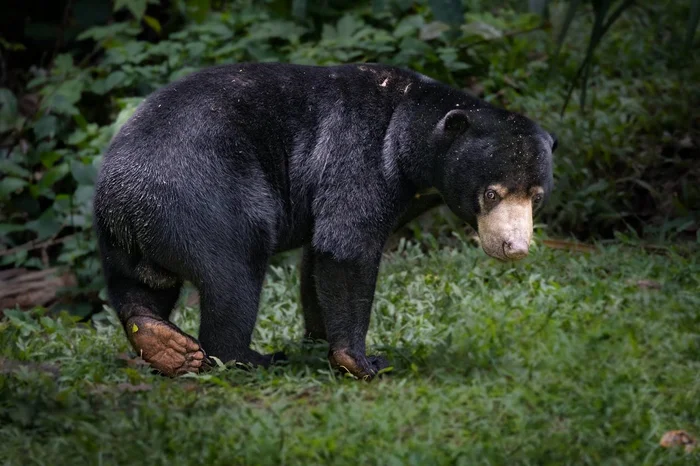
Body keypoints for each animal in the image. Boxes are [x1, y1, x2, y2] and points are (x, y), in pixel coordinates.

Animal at [93, 63, 556, 380]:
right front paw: (362, 361)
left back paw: (161, 341)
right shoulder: (362, 155)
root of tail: (121, 192)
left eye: (536, 196)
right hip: (202, 199)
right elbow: (346, 246)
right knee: (234, 272)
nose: (515, 247)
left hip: (125, 234)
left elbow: (317, 258)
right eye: (491, 193)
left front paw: (317, 343)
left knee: (139, 282)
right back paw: (248, 358)